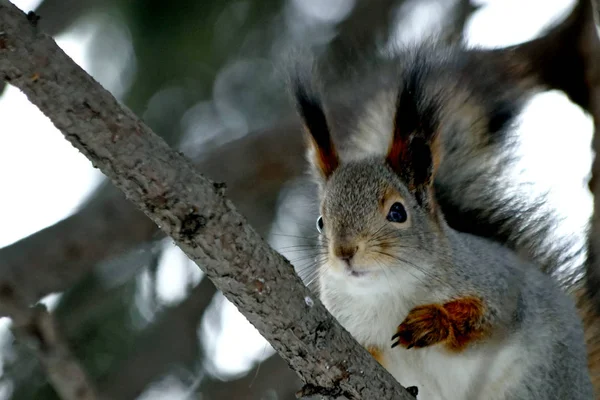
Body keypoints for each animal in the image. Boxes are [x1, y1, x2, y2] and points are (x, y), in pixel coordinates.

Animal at [288, 0, 600, 396]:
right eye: (320, 221)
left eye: (397, 212)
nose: (344, 252)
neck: (386, 291)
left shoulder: (499, 286)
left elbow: (484, 319)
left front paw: (433, 323)